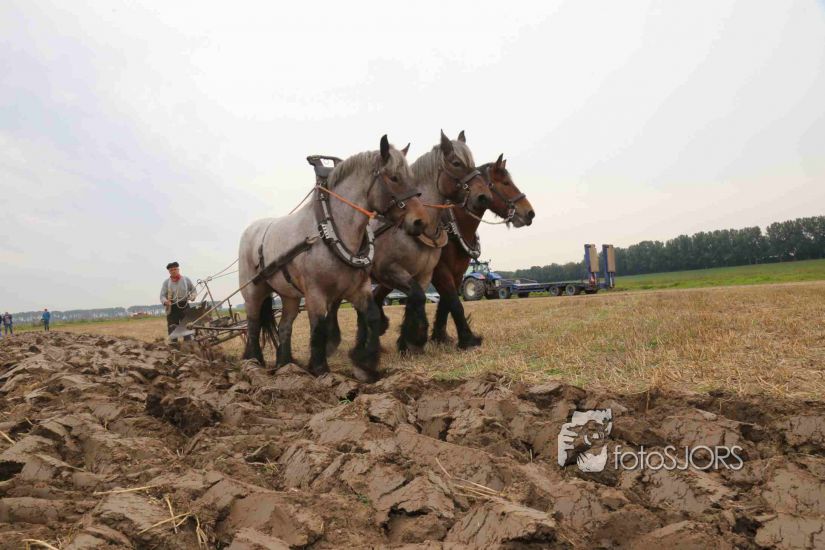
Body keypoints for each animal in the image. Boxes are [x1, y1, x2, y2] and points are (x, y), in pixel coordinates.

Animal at [238, 135, 427, 383]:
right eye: (394, 177)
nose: (420, 221)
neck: (329, 232)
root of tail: (250, 231)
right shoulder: (315, 294)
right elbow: (318, 327)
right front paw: (320, 369)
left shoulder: (358, 289)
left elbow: (373, 317)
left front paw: (364, 363)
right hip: (253, 291)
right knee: (252, 324)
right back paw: (253, 363)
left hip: (290, 296)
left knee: (284, 326)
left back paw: (285, 365)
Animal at [326, 130, 494, 355]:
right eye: (456, 163)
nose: (484, 196)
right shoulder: (391, 270)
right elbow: (424, 298)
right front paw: (418, 339)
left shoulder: (423, 274)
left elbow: (417, 300)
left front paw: (409, 342)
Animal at [430, 154, 534, 348]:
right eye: (506, 183)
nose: (530, 213)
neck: (451, 227)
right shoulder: (440, 270)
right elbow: (454, 302)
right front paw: (466, 340)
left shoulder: (457, 272)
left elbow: (446, 303)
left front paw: (439, 337)